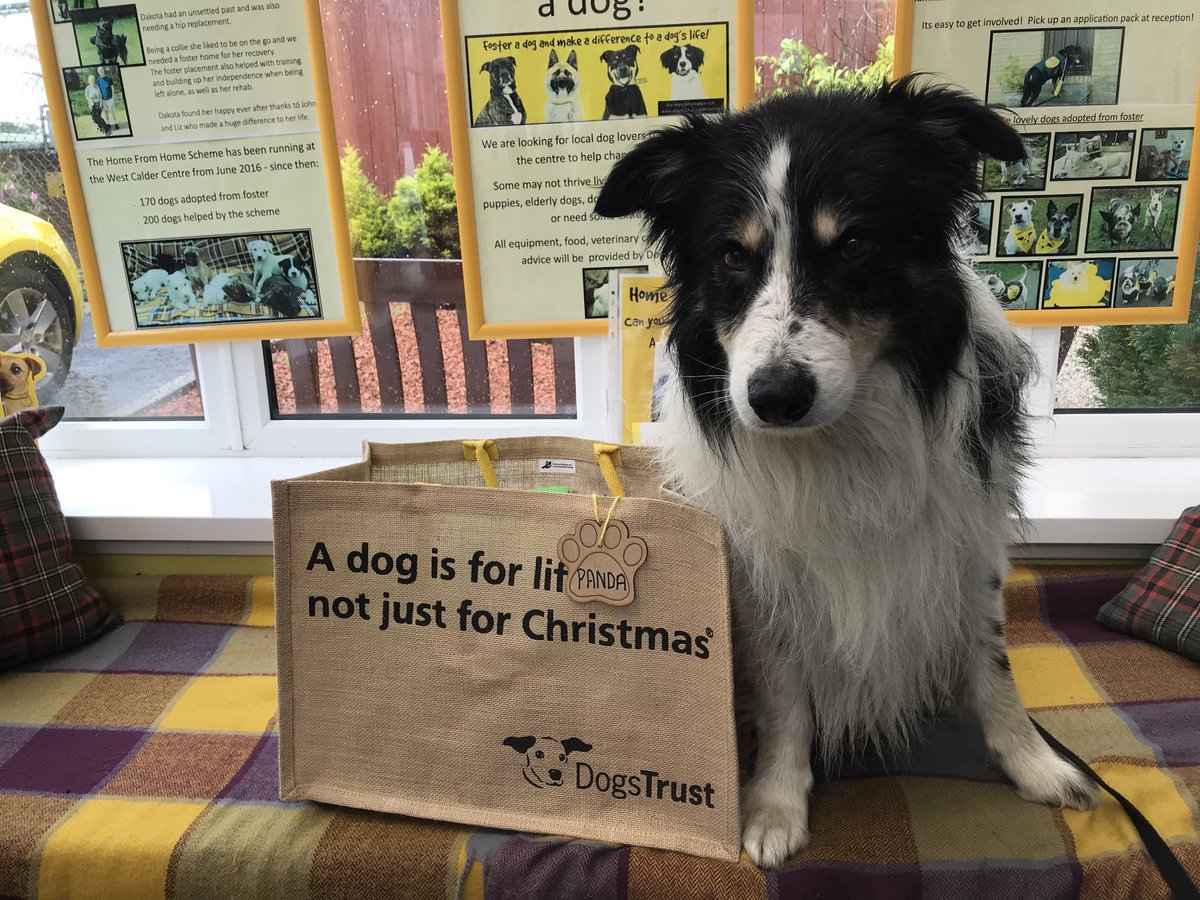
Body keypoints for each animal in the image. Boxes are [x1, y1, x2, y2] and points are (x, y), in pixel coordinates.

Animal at [592, 75, 1099, 868]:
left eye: (855, 243)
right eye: (732, 257)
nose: (774, 398)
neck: (840, 437)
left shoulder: (970, 548)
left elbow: (992, 668)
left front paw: (1033, 763)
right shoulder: (767, 578)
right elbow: (784, 700)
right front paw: (774, 804)